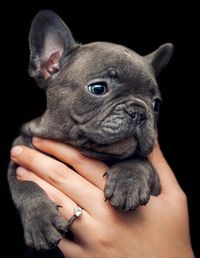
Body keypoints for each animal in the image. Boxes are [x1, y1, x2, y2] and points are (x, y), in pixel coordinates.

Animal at [7, 10, 173, 250]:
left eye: (157, 104)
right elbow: (25, 185)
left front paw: (128, 182)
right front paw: (40, 220)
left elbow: (138, 159)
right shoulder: (19, 156)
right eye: (98, 88)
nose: (139, 112)